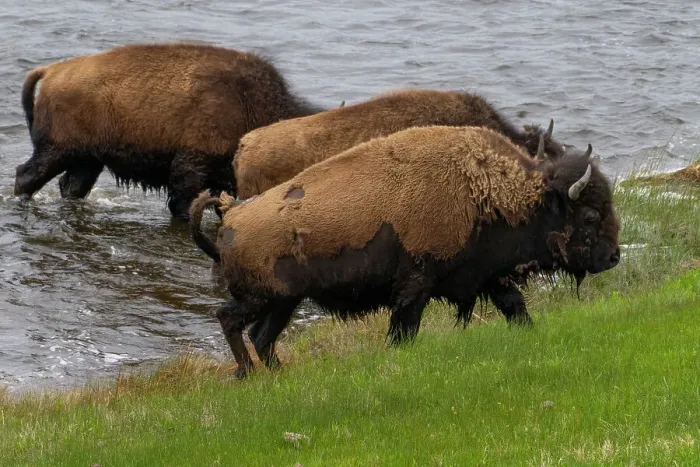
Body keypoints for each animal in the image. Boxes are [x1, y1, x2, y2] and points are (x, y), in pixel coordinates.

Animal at [190, 125, 620, 378]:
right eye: (590, 214)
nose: (613, 256)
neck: (489, 192)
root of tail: (230, 217)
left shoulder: (486, 276)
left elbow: (516, 306)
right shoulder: (416, 286)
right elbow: (404, 329)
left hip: (284, 302)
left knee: (262, 336)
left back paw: (279, 375)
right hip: (262, 297)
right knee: (230, 320)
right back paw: (247, 374)